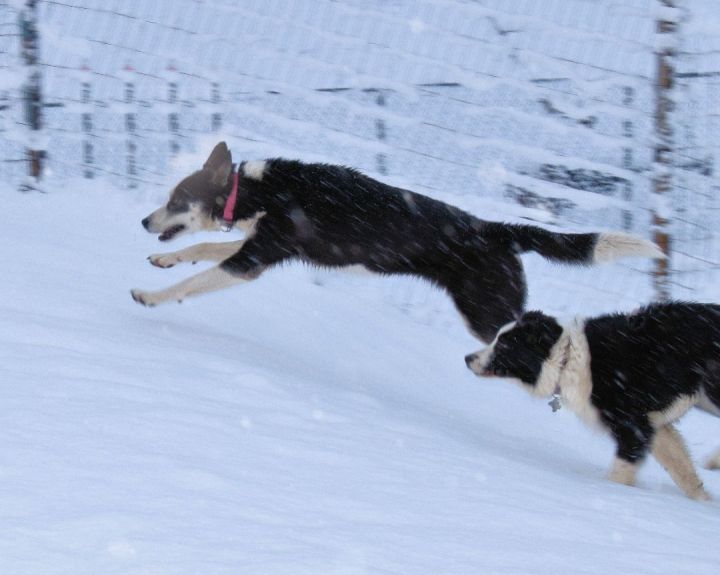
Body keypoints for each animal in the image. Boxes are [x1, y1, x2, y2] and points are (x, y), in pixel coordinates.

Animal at [131, 142, 664, 344]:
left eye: (177, 200)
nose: (143, 220)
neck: (258, 192)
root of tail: (495, 228)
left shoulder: (255, 257)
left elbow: (194, 280)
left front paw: (149, 296)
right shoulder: (263, 252)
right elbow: (199, 252)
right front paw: (162, 259)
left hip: (486, 312)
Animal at [464, 306, 720, 500]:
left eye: (503, 345)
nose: (467, 358)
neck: (566, 358)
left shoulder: (632, 426)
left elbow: (621, 472)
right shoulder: (654, 425)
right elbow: (683, 470)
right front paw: (704, 502)